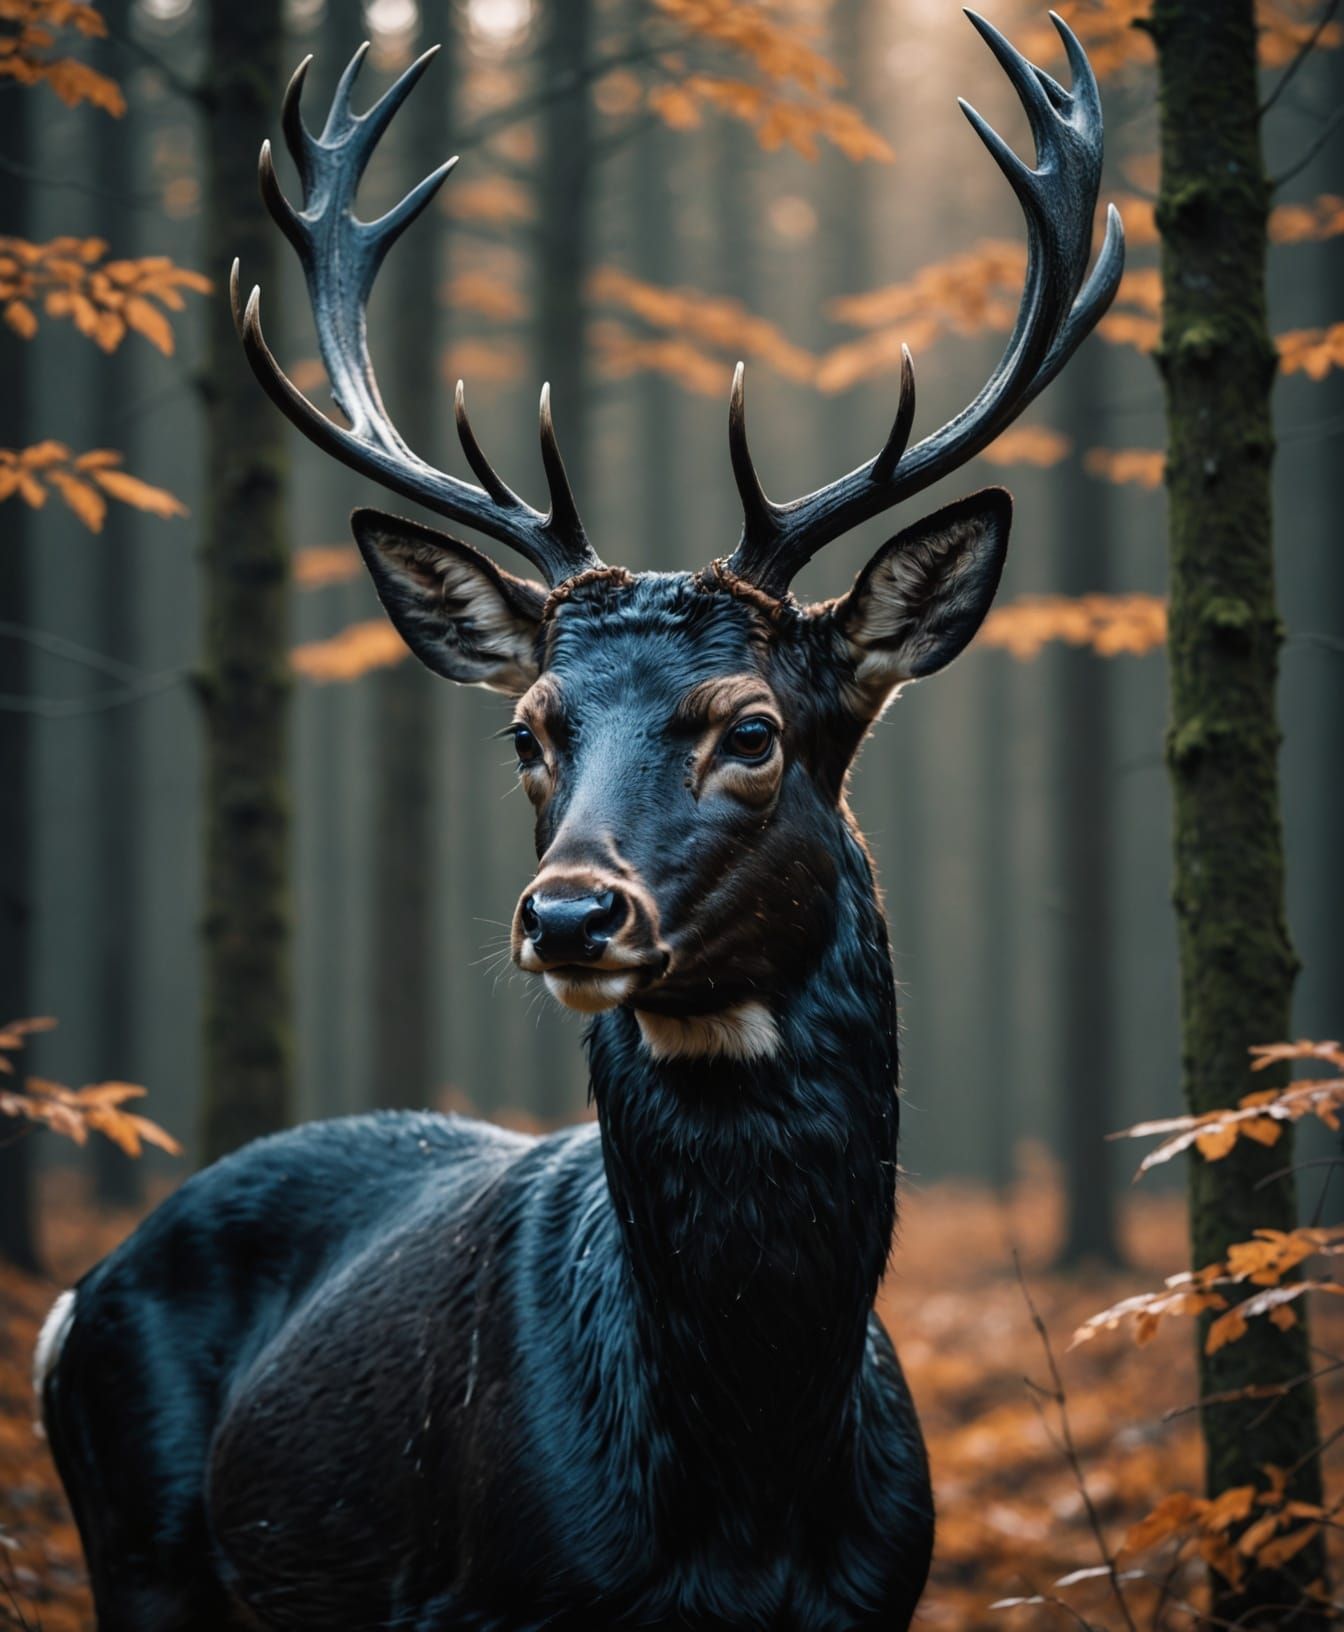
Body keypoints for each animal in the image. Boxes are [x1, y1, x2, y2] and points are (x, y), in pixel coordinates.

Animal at [37, 14, 1121, 1630]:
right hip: (144, 1553)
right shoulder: (483, 1595)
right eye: (528, 730)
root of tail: (74, 1297)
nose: (569, 913)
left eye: (753, 730)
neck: (751, 1491)